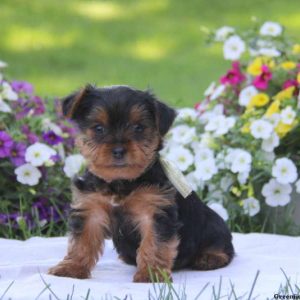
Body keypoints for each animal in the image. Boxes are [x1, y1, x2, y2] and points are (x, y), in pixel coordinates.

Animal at [48, 85, 234, 282]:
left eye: (138, 128)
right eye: (98, 128)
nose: (119, 150)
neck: (120, 182)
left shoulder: (155, 212)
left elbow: (154, 244)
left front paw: (151, 274)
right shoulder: (91, 208)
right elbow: (82, 241)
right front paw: (72, 268)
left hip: (214, 225)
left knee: (223, 246)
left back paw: (209, 258)